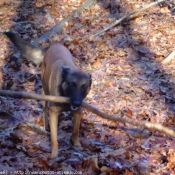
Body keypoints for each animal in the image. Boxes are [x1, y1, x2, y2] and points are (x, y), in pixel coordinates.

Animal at [4, 31, 91, 159]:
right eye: (72, 85)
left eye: (84, 87)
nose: (77, 102)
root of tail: (53, 44)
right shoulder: (53, 113)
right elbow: (54, 138)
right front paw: (54, 155)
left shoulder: (78, 112)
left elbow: (75, 131)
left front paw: (77, 145)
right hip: (44, 95)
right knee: (45, 113)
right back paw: (45, 129)